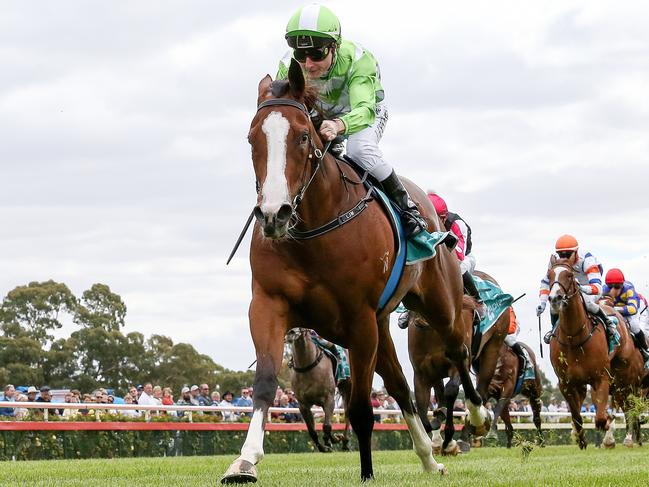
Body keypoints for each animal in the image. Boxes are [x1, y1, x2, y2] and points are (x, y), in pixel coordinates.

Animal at [220, 58, 488, 484]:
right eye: (251, 140)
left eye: (301, 136)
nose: (273, 214)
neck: (312, 230)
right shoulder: (268, 305)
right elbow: (264, 383)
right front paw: (244, 461)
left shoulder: (359, 320)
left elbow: (361, 407)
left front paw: (366, 471)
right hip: (382, 323)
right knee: (401, 386)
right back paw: (429, 457)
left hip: (438, 305)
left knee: (458, 351)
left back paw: (477, 417)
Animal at [408, 272, 508, 456]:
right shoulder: (421, 374)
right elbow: (422, 412)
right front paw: (436, 434)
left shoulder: (459, 363)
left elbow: (452, 391)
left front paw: (449, 441)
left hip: (492, 349)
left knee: (481, 392)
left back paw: (465, 436)